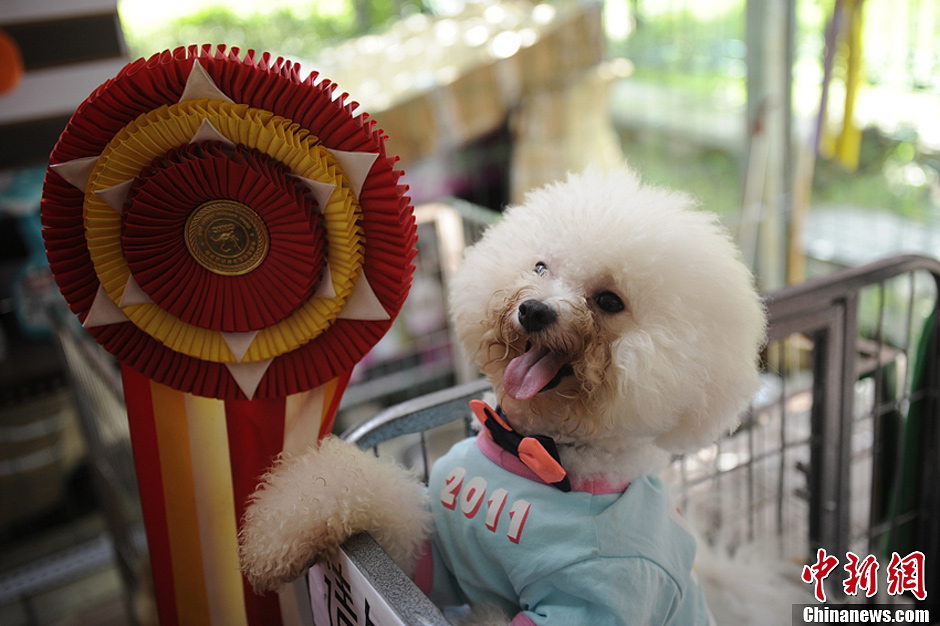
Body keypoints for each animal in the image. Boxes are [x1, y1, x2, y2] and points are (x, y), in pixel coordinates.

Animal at [241, 168, 772, 620]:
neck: (532, 449)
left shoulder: (598, 596)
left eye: (609, 301)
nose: (534, 311)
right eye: (539, 267)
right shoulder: (431, 556)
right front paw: (271, 536)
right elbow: (360, 492)